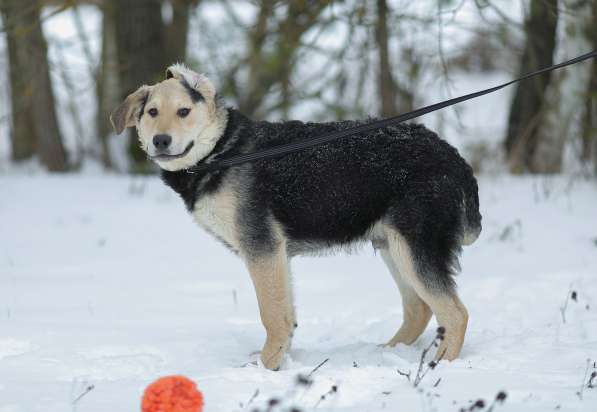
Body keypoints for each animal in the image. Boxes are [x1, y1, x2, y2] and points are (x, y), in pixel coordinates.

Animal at [112, 63, 482, 370]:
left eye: (184, 111)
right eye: (152, 112)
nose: (161, 140)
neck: (220, 151)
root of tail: (452, 156)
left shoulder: (262, 248)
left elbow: (272, 315)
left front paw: (265, 368)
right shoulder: (277, 254)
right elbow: (286, 312)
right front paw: (278, 360)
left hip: (414, 247)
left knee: (456, 313)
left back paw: (440, 365)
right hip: (392, 244)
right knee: (420, 309)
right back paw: (387, 353)